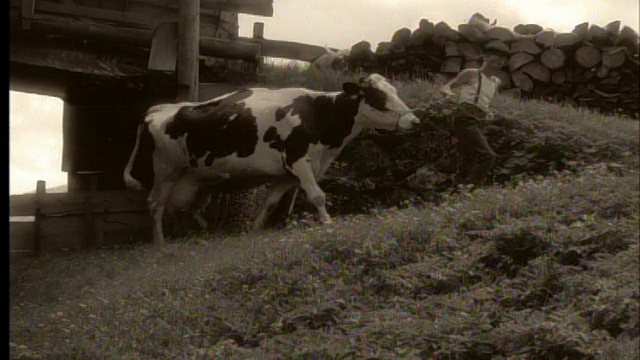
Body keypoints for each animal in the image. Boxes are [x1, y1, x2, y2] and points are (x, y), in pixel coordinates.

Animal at [124, 73, 420, 243]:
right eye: (378, 96)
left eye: (395, 91)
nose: (414, 121)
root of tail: (158, 109)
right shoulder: (298, 160)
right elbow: (317, 195)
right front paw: (327, 223)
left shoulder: (288, 173)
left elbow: (271, 203)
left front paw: (255, 230)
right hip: (165, 171)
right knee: (156, 205)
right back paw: (161, 242)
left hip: (195, 179)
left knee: (186, 208)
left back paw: (197, 232)